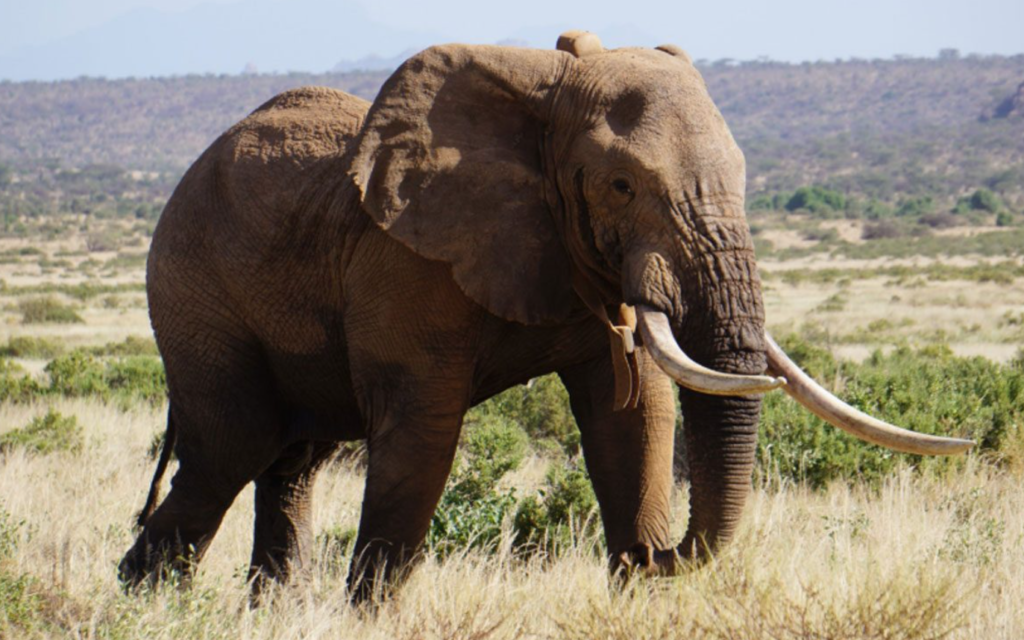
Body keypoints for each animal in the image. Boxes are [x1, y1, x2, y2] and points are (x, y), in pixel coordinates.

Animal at [119, 30, 972, 602]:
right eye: (622, 186)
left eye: (742, 177)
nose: (659, 556)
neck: (545, 88)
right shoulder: (407, 262)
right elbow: (424, 435)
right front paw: (370, 617)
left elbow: (635, 418)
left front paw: (637, 594)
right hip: (192, 288)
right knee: (232, 446)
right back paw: (145, 601)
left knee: (290, 461)